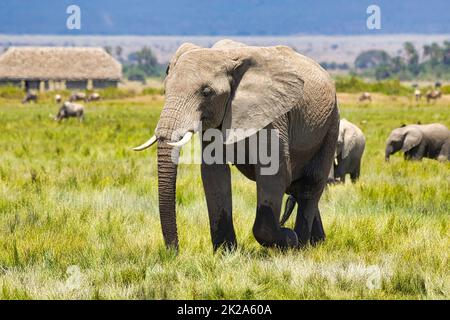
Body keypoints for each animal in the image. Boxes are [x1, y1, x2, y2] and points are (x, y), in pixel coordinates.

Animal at [132, 39, 340, 250]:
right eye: (165, 90)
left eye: (206, 92)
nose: (174, 251)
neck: (225, 57)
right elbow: (214, 172)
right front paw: (226, 252)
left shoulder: (273, 116)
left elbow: (274, 172)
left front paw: (289, 238)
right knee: (298, 187)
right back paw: (317, 242)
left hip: (331, 124)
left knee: (310, 185)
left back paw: (302, 244)